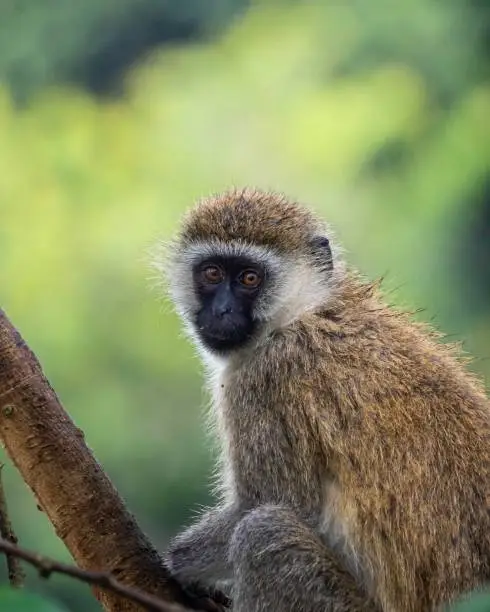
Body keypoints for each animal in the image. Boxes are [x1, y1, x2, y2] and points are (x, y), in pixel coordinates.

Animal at [156, 189, 490, 608]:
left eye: (250, 278)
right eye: (212, 273)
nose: (221, 310)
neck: (303, 312)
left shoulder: (266, 378)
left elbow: (273, 504)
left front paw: (179, 565)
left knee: (262, 532)